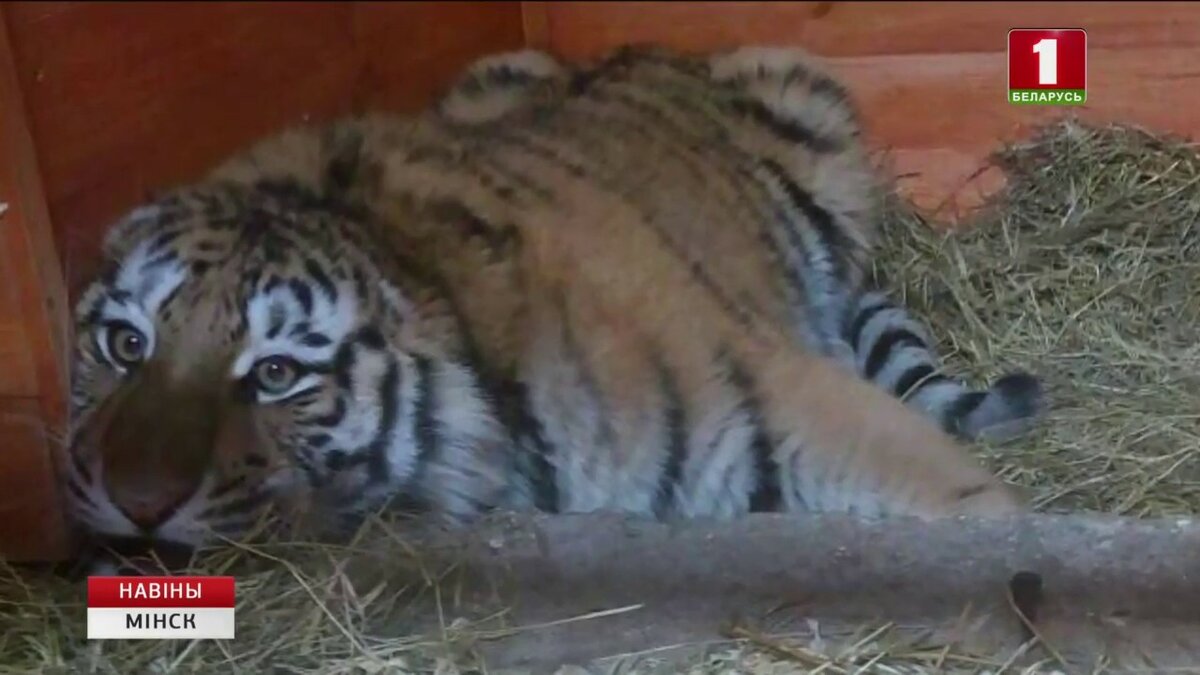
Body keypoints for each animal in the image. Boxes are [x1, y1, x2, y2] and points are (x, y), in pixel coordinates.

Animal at [65, 45, 1043, 559]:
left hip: (806, 93)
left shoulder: (784, 389)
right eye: (123, 343)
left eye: (274, 373)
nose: (135, 502)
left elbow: (974, 507)